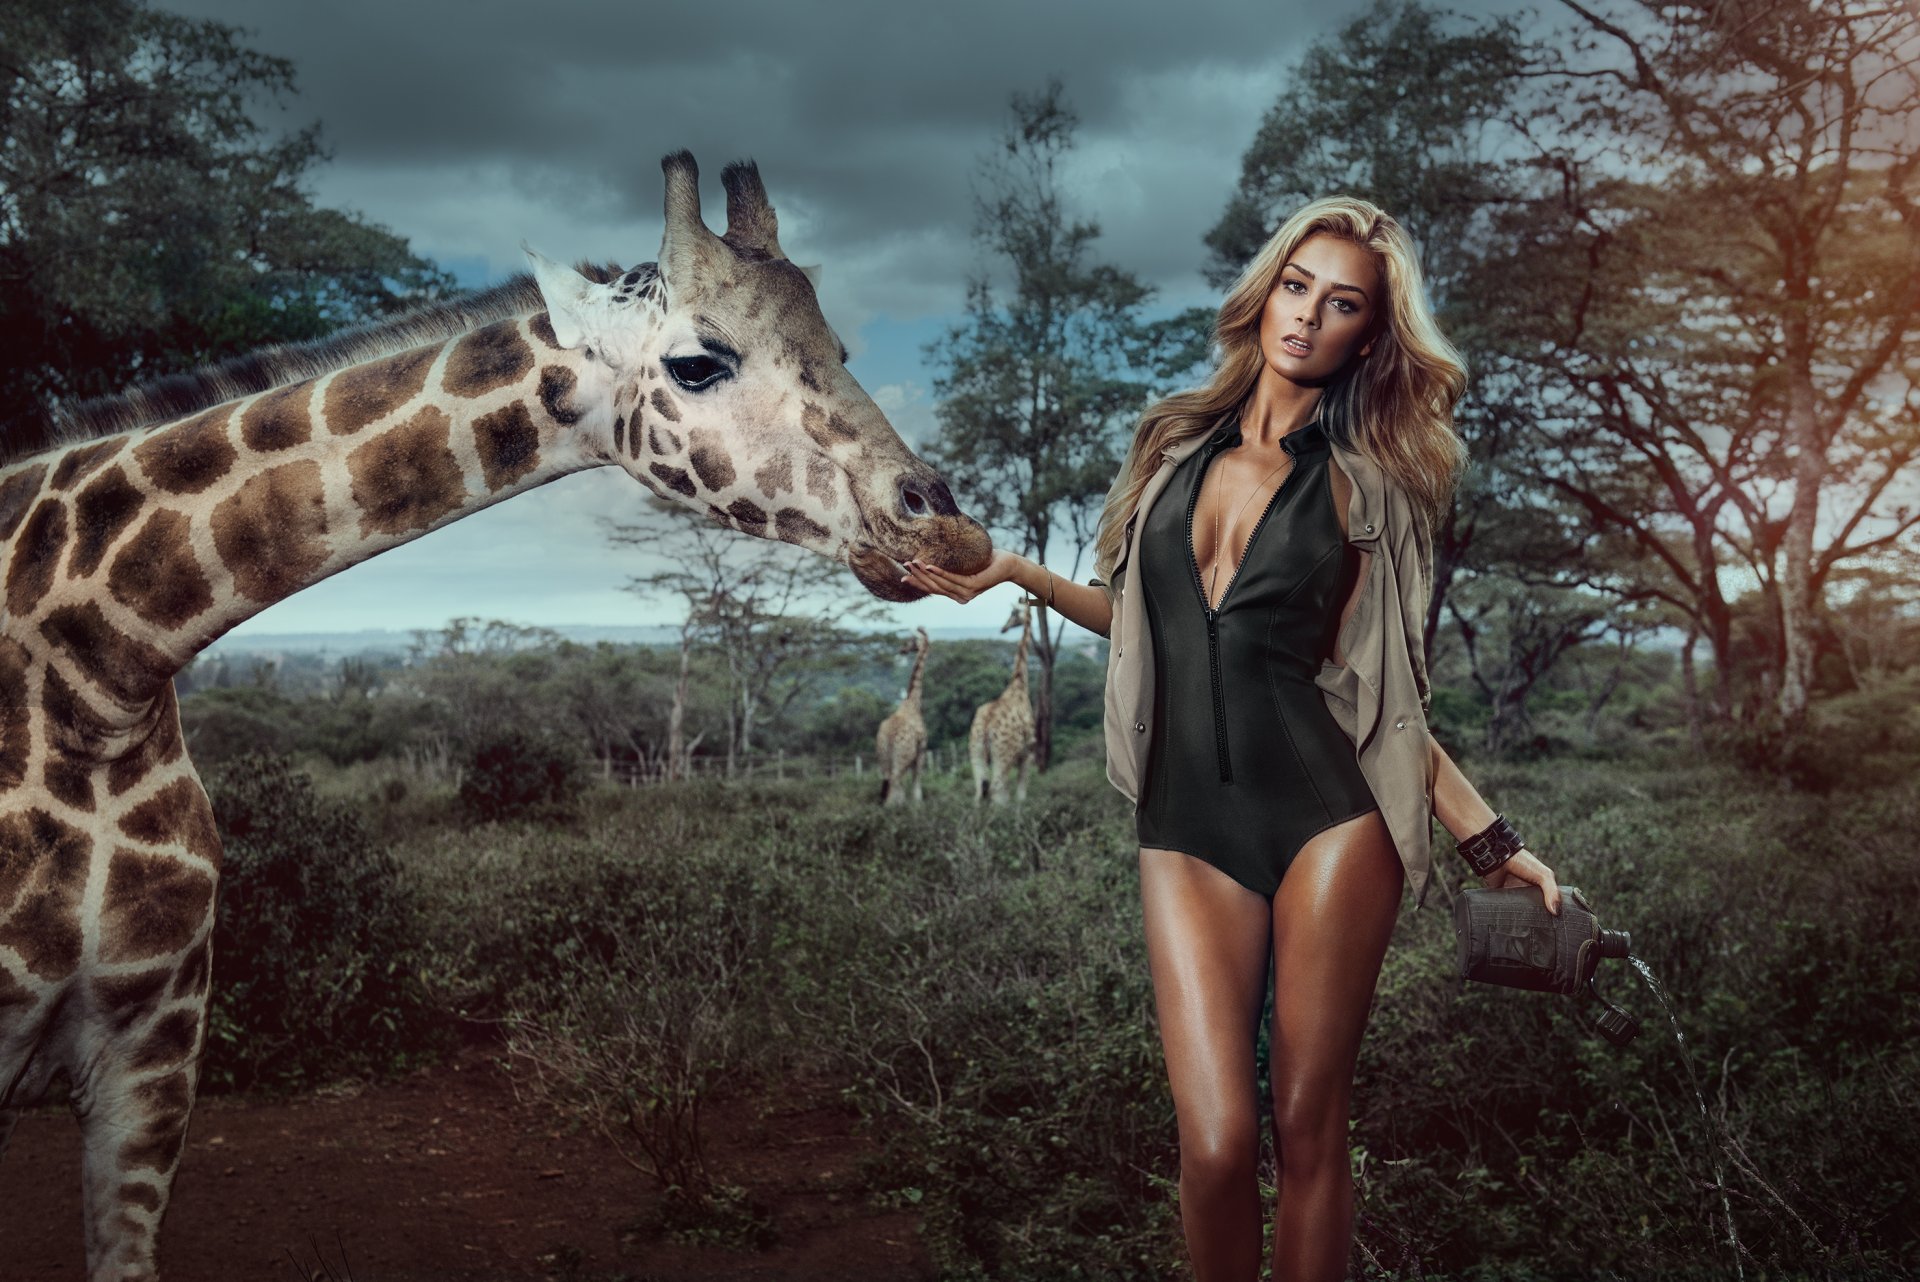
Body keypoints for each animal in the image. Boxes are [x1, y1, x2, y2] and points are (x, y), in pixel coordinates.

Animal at [874, 626, 930, 804]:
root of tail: (890, 737)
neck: (912, 702)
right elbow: (917, 782)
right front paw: (918, 804)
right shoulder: (921, 750)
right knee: (895, 781)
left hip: (883, 756)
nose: (902, 649)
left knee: (889, 780)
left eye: (910, 640)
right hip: (903, 756)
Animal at [968, 599, 1037, 805]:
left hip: (976, 752)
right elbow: (1021, 796)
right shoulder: (1028, 753)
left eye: (1013, 614)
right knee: (997, 792)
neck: (1019, 684)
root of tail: (985, 728)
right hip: (1003, 755)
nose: (1003, 629)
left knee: (980, 791)